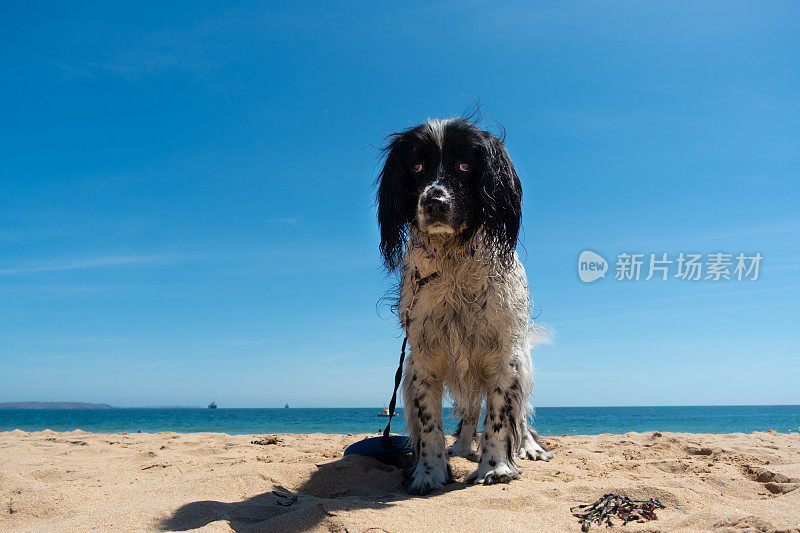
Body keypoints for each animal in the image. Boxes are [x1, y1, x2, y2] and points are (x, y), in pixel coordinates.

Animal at [378, 116, 552, 494]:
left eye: (464, 166)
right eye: (416, 166)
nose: (435, 203)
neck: (453, 258)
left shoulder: (505, 356)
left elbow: (501, 415)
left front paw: (496, 467)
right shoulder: (423, 358)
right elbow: (428, 421)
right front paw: (429, 473)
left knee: (520, 413)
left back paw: (529, 447)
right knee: (471, 410)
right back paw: (460, 447)